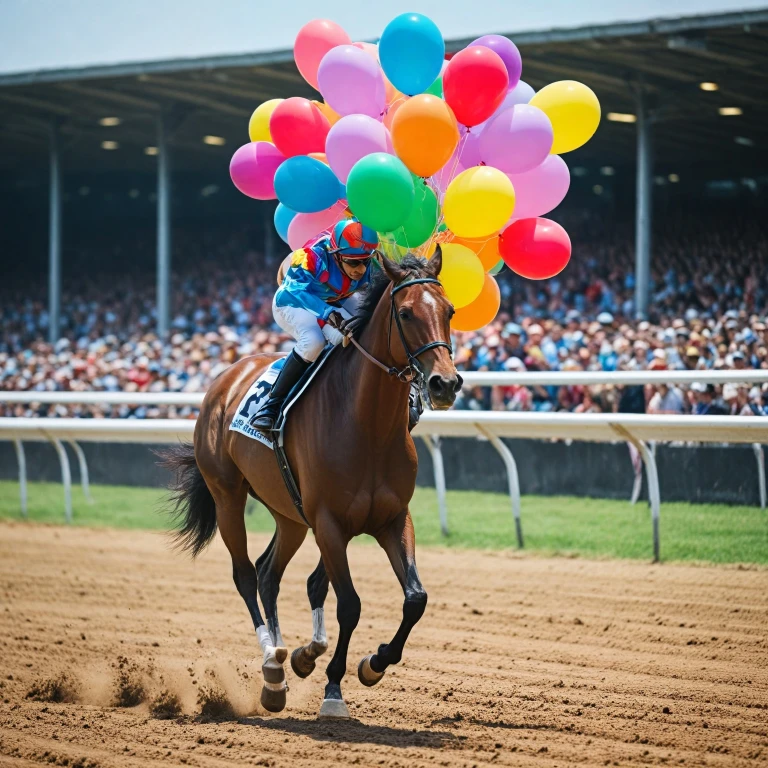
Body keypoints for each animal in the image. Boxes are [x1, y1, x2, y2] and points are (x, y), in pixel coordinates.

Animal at [160, 247, 461, 719]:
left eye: (449, 310)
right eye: (407, 313)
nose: (444, 383)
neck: (367, 424)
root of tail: (225, 379)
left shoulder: (393, 518)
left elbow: (415, 598)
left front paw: (373, 664)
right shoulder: (329, 523)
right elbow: (350, 604)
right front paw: (334, 689)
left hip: (289, 514)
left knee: (268, 572)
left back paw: (281, 671)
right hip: (228, 496)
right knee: (245, 575)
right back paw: (271, 660)